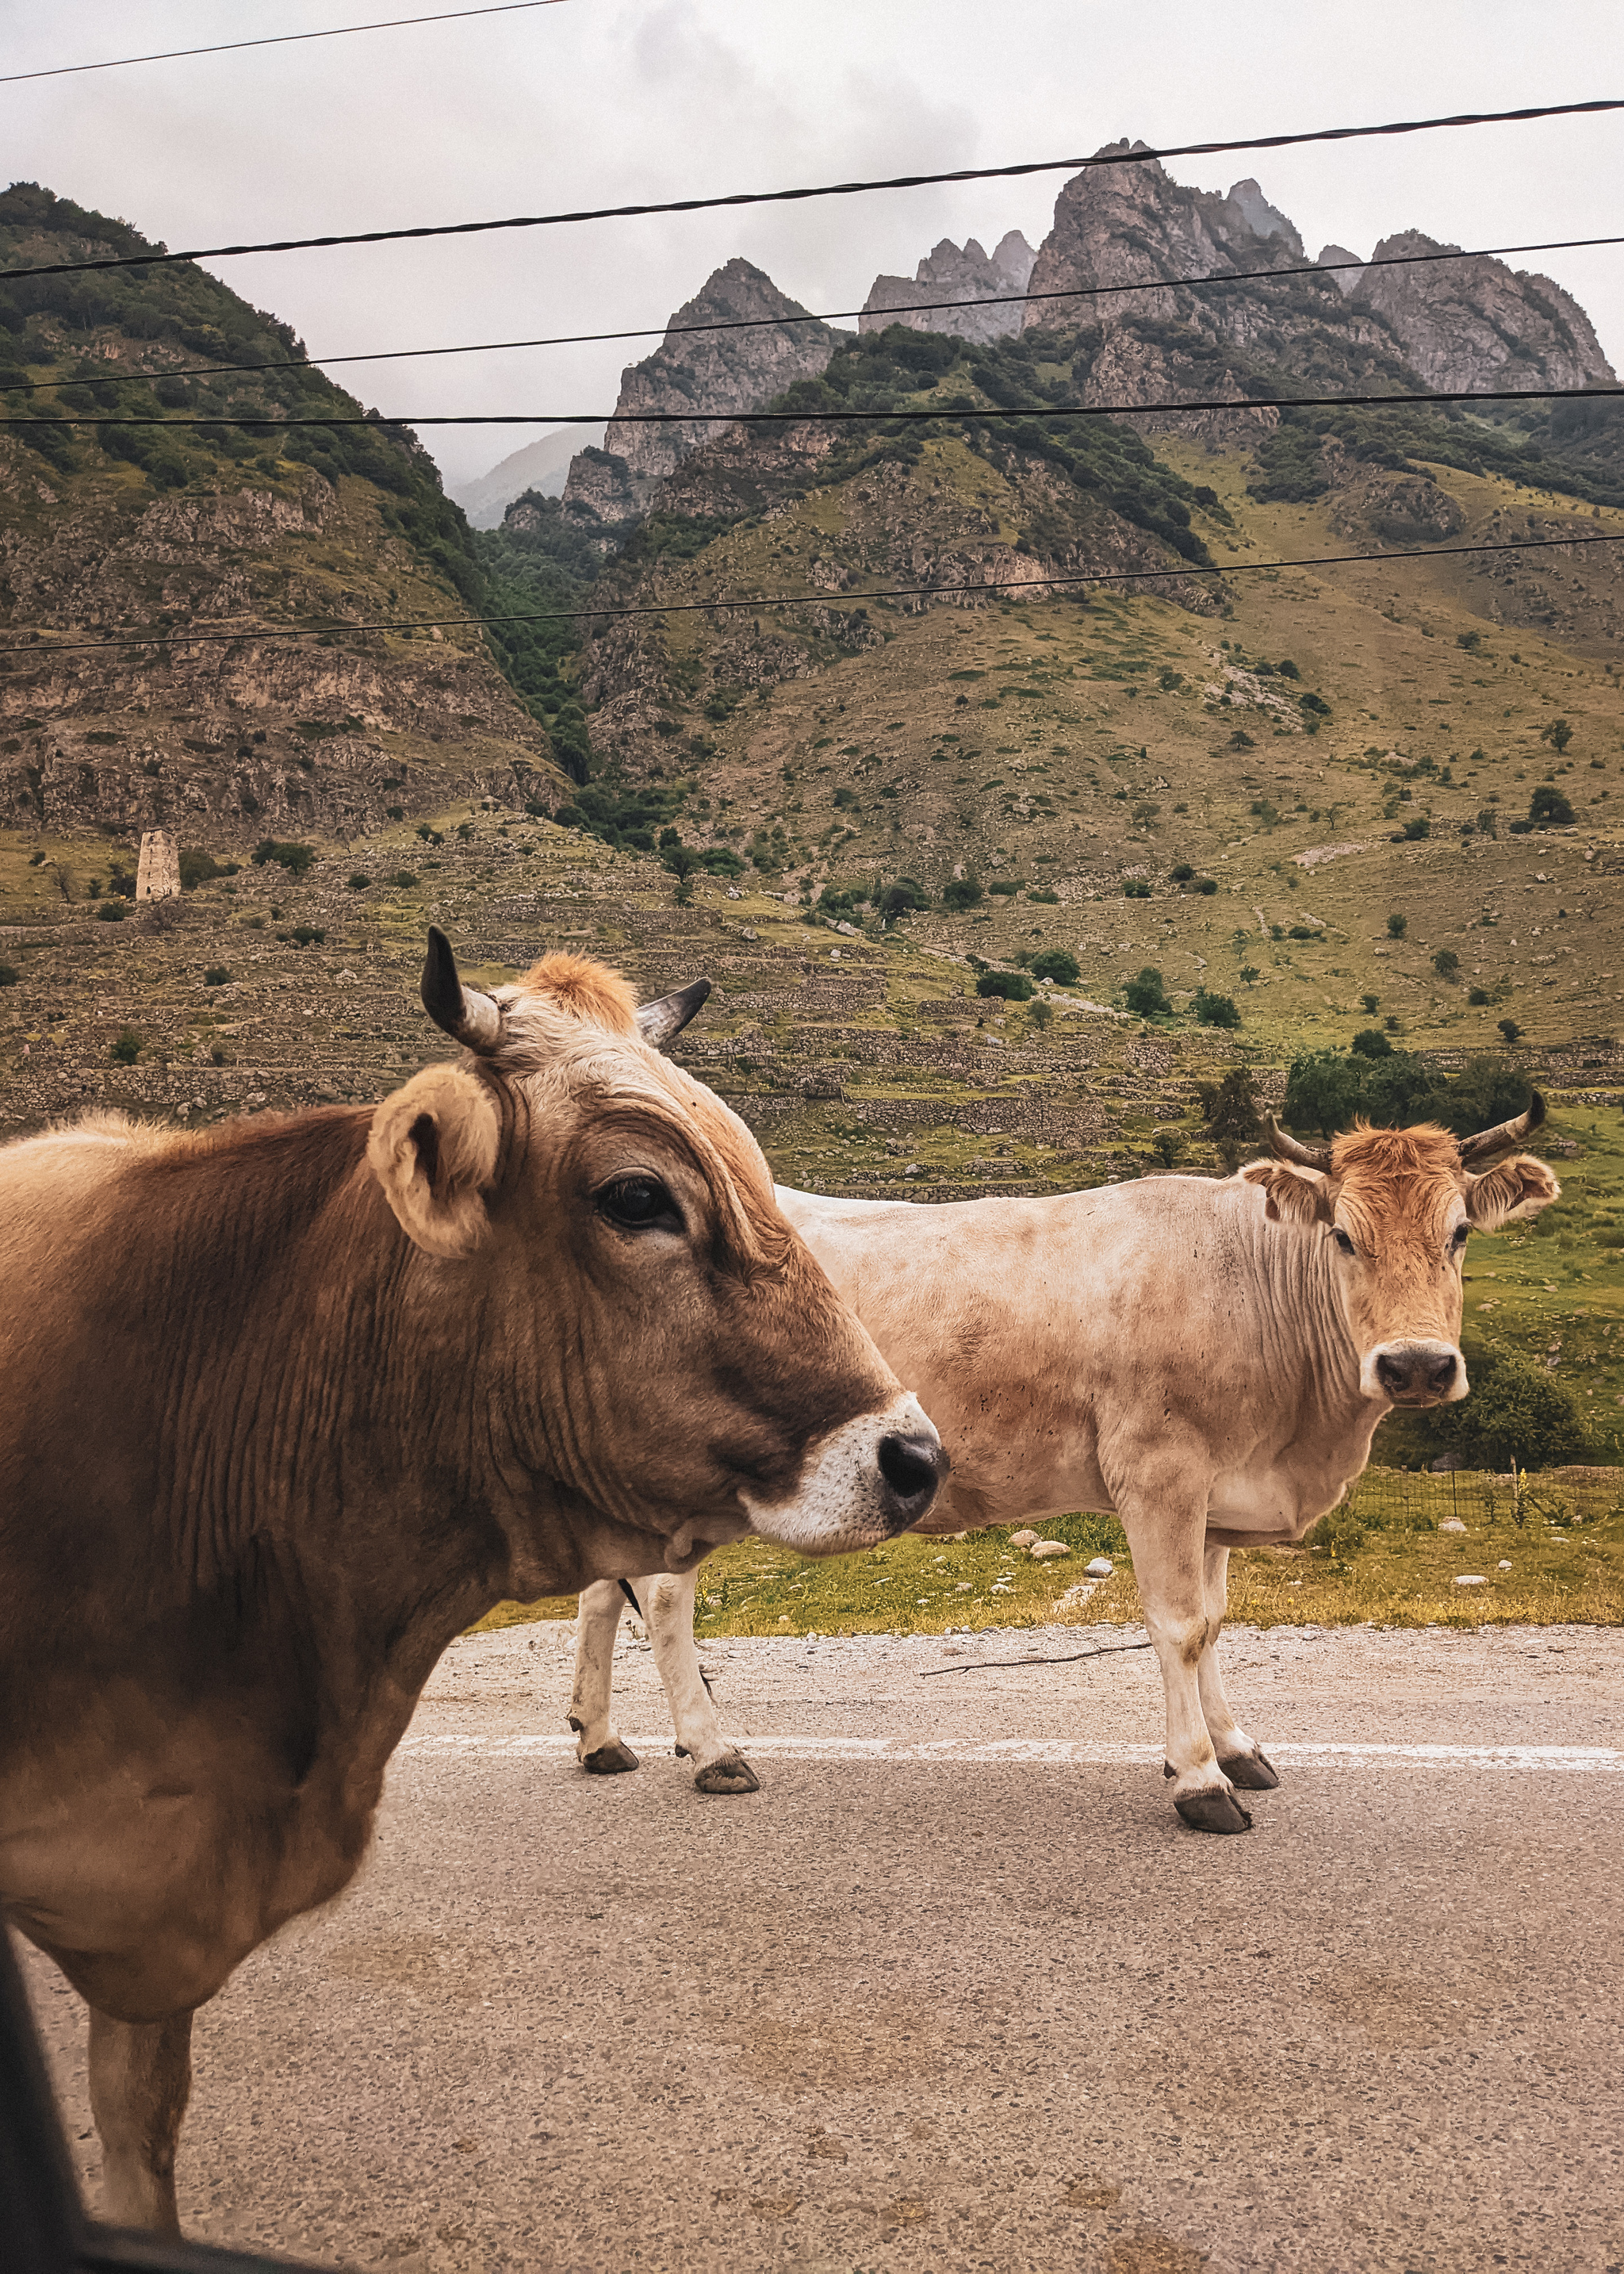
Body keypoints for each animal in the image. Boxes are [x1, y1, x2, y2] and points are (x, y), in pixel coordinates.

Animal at [564, 1100, 1546, 1828]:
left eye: (1460, 1231)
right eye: (1342, 1234)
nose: (1413, 1365)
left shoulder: (1216, 1490)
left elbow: (1215, 1621)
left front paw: (1234, 1748)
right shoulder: (1159, 1472)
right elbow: (1178, 1626)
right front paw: (1199, 1779)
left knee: (600, 1593)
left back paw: (597, 1738)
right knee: (663, 1598)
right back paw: (713, 1751)